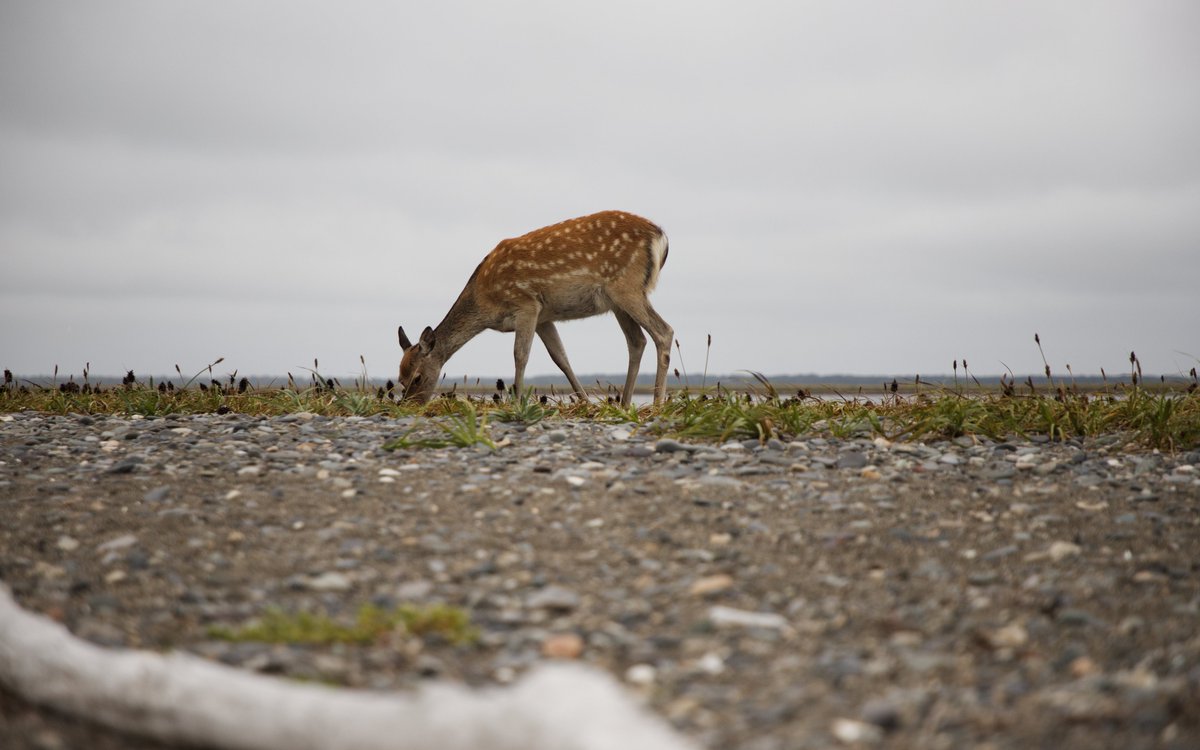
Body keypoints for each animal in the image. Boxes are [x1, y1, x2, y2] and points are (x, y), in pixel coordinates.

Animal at [398, 210, 673, 406]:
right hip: (617, 301)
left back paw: (657, 403)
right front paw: (585, 402)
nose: (411, 406)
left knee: (664, 331)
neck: (485, 302)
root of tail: (661, 236)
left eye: (417, 377)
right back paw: (625, 403)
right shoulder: (544, 317)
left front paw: (518, 402)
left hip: (627, 287)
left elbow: (520, 354)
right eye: (400, 379)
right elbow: (560, 358)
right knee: (637, 341)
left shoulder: (526, 304)